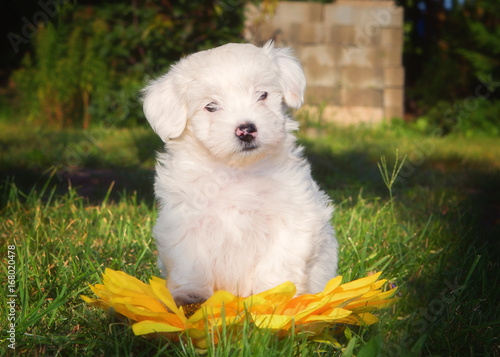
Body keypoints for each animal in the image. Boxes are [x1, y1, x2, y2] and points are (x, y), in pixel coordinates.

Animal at [141, 41, 338, 304]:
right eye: (211, 106)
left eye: (262, 95)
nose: (246, 130)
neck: (235, 170)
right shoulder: (184, 222)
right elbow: (190, 264)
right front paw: (190, 296)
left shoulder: (293, 218)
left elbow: (279, 262)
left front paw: (274, 296)